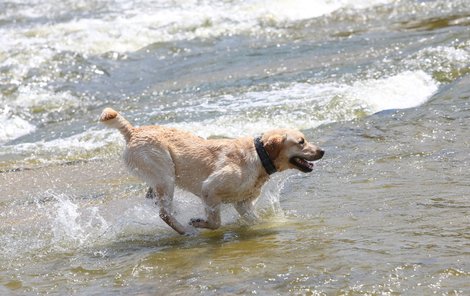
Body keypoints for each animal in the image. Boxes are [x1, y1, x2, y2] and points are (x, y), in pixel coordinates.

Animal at [100, 107, 324, 235]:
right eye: (301, 141)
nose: (323, 151)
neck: (259, 157)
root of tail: (133, 131)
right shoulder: (209, 189)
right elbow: (216, 222)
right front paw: (198, 222)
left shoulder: (243, 204)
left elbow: (254, 219)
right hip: (166, 175)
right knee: (164, 213)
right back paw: (184, 230)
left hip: (159, 180)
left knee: (157, 202)